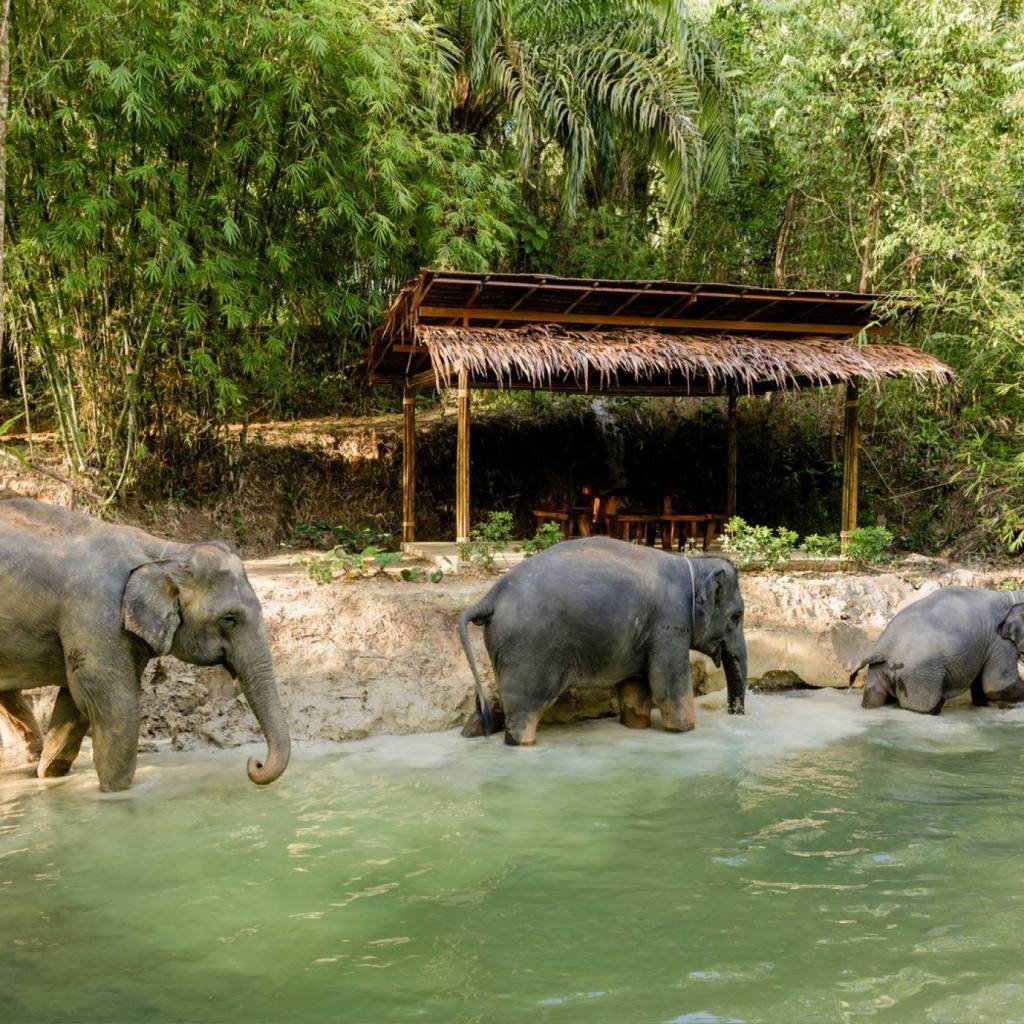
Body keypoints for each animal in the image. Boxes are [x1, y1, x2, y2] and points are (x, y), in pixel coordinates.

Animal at [0, 495, 290, 791]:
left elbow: (74, 704)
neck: (164, 554)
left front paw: (49, 777)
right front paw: (117, 794)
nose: (254, 763)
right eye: (229, 619)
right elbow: (114, 708)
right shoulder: (96, 615)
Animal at [458, 536, 747, 745]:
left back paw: (472, 731)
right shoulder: (670, 623)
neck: (693, 565)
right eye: (736, 617)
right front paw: (685, 731)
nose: (735, 714)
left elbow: (635, 686)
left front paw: (636, 726)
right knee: (525, 711)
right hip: (529, 651)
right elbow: (667, 687)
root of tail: (491, 596)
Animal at [850, 586, 1024, 714]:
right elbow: (997, 685)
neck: (1011, 596)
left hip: (881, 671)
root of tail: (882, 649)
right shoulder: (1000, 641)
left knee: (874, 698)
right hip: (919, 674)